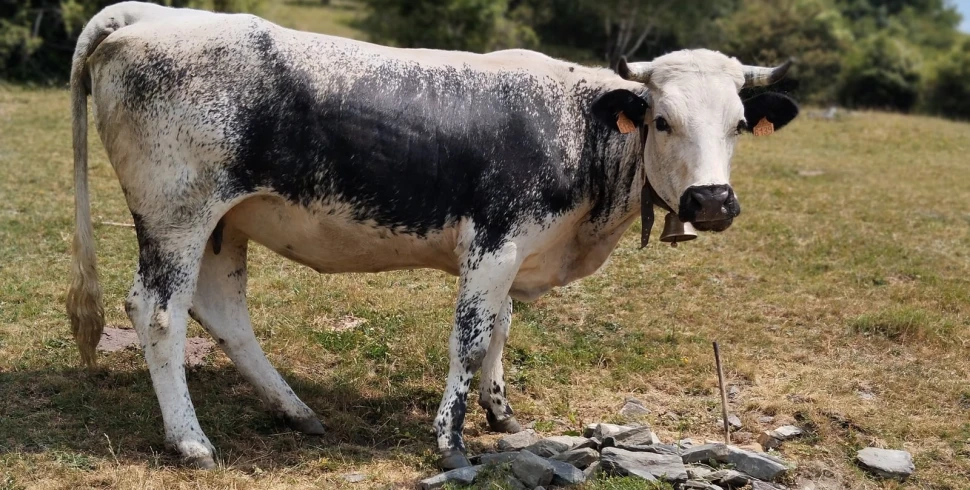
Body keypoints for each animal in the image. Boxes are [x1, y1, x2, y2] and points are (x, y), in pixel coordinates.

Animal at [64, 1, 796, 472]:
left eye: (737, 123)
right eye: (663, 121)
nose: (711, 200)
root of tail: (149, 14)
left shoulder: (515, 255)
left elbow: (500, 330)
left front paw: (503, 416)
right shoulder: (496, 242)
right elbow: (470, 339)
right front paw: (451, 439)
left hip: (226, 222)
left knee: (221, 312)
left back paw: (295, 411)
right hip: (177, 215)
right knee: (158, 313)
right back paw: (191, 442)